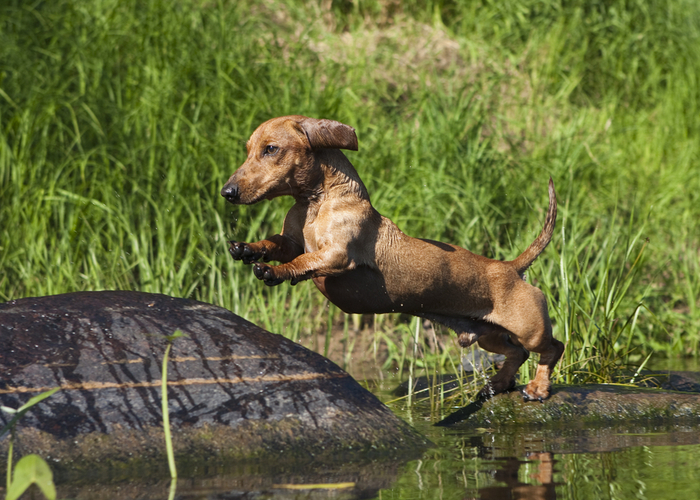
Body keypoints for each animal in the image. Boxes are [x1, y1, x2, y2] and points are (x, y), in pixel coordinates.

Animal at [221, 115, 568, 400]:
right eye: (249, 149)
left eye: (270, 149)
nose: (227, 192)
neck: (317, 203)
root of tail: (511, 268)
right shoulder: (293, 241)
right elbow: (278, 244)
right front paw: (249, 248)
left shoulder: (336, 256)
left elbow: (301, 263)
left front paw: (275, 272)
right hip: (488, 336)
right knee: (516, 354)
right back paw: (498, 384)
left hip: (531, 330)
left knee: (552, 348)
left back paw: (538, 388)